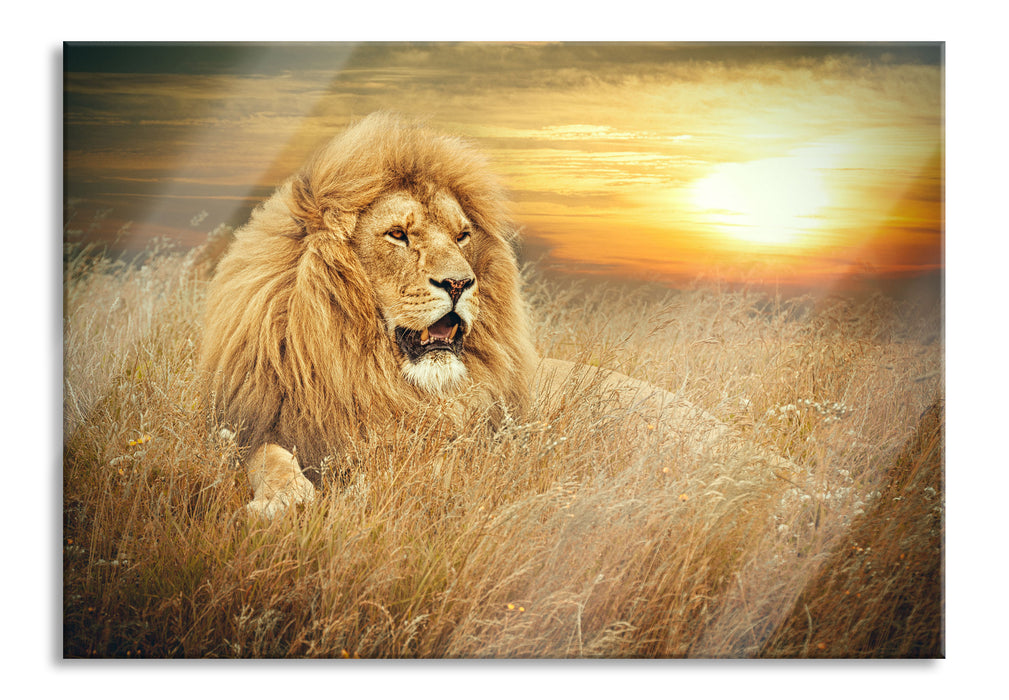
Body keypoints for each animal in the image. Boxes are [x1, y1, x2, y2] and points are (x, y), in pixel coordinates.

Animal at [201, 112, 761, 517]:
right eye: (398, 234)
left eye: (462, 236)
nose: (459, 284)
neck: (368, 374)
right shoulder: (252, 427)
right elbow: (269, 457)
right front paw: (283, 499)